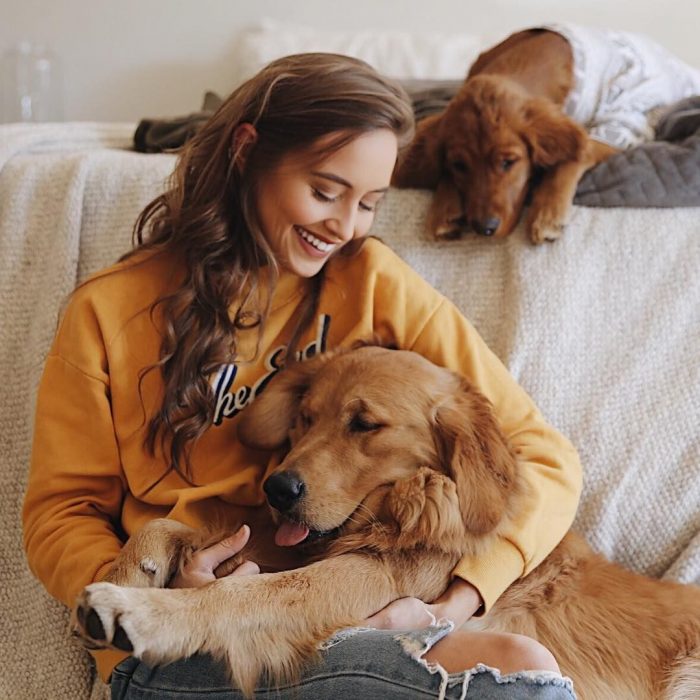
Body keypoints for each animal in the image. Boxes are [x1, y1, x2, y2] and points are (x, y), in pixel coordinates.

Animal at [72, 346, 700, 700]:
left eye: (364, 424)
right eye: (305, 418)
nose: (277, 488)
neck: (416, 508)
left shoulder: (370, 577)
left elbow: (239, 596)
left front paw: (139, 611)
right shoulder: (306, 545)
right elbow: (173, 529)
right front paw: (128, 571)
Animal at [394, 28, 616, 245]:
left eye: (508, 162)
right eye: (459, 165)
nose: (485, 228)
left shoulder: (616, 125)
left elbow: (577, 154)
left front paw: (546, 213)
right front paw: (444, 208)